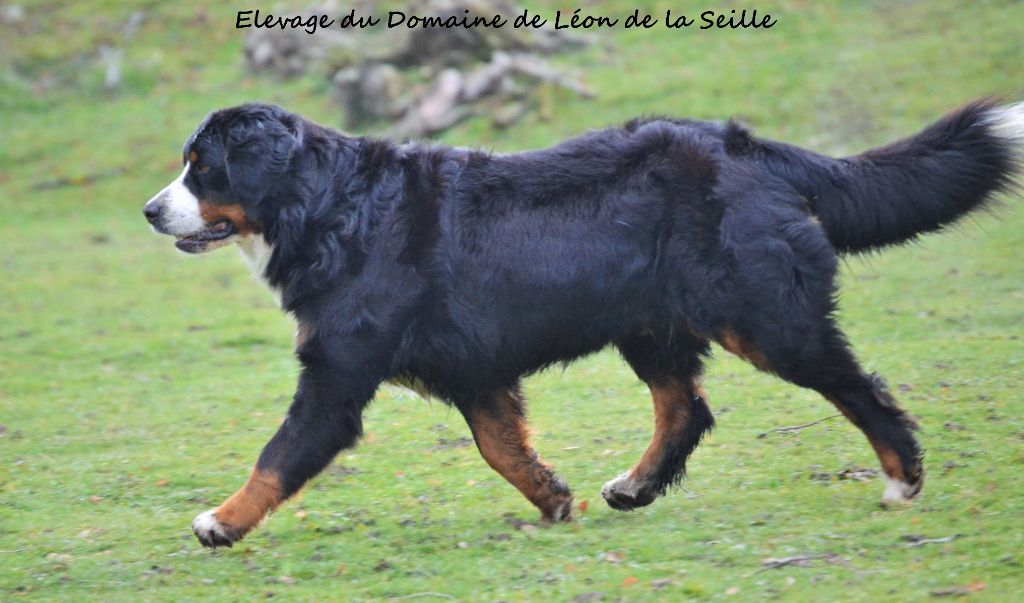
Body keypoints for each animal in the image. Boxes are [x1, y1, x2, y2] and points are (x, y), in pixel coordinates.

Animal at [144, 99, 1022, 548]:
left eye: (203, 168)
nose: (151, 210)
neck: (328, 206)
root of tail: (745, 146)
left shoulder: (337, 372)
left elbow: (279, 453)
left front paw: (221, 521)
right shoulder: (475, 368)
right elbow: (502, 446)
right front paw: (555, 498)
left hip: (769, 319)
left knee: (856, 387)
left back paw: (902, 477)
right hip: (651, 324)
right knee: (686, 407)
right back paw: (634, 486)